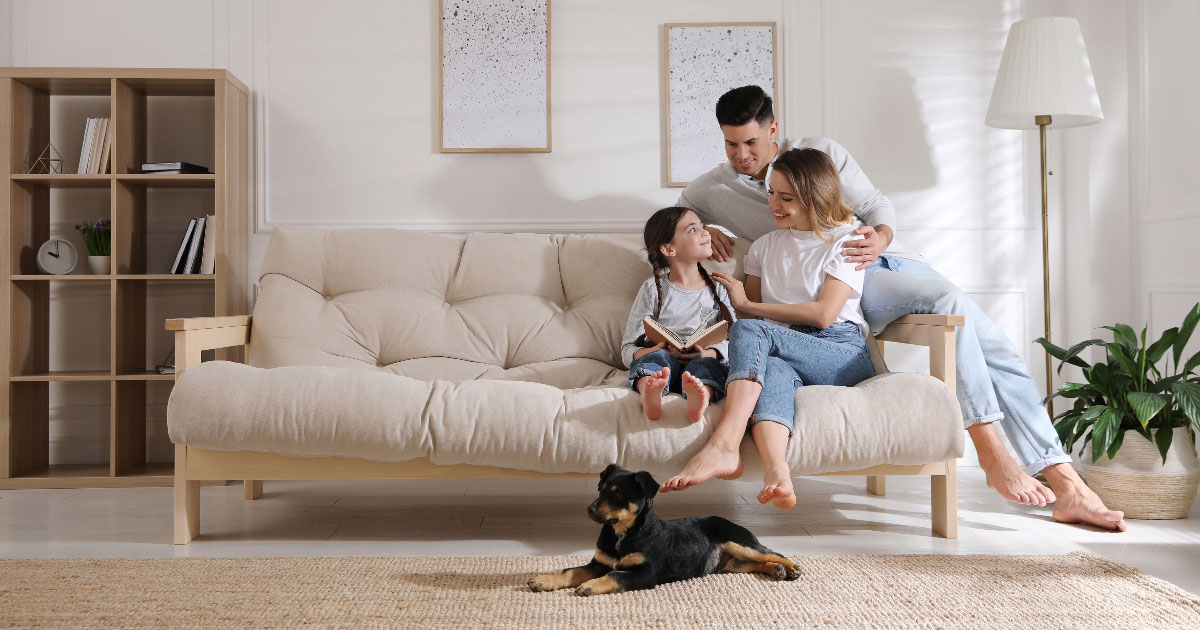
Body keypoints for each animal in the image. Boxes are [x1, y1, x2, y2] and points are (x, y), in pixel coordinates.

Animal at [530, 460, 801, 595]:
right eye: (600, 489)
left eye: (618, 495)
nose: (589, 509)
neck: (622, 534)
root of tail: (730, 521)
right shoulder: (598, 563)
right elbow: (570, 571)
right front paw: (544, 580)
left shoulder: (645, 572)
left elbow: (615, 575)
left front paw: (590, 586)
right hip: (730, 563)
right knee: (754, 563)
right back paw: (776, 570)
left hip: (739, 542)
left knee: (772, 553)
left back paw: (791, 568)